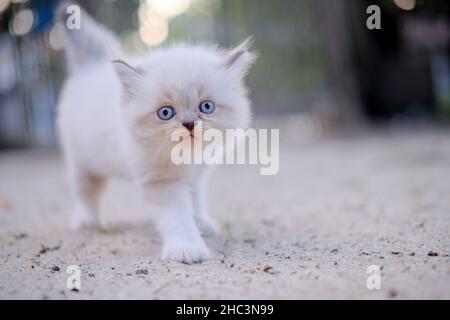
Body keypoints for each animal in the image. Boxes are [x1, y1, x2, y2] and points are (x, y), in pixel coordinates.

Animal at [55, 6, 255, 264]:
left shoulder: (196, 176)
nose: (189, 124)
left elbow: (196, 201)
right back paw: (88, 221)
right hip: (85, 164)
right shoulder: (162, 182)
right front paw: (186, 247)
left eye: (206, 107)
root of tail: (93, 66)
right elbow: (178, 218)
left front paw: (201, 223)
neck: (187, 159)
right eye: (166, 113)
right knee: (86, 193)